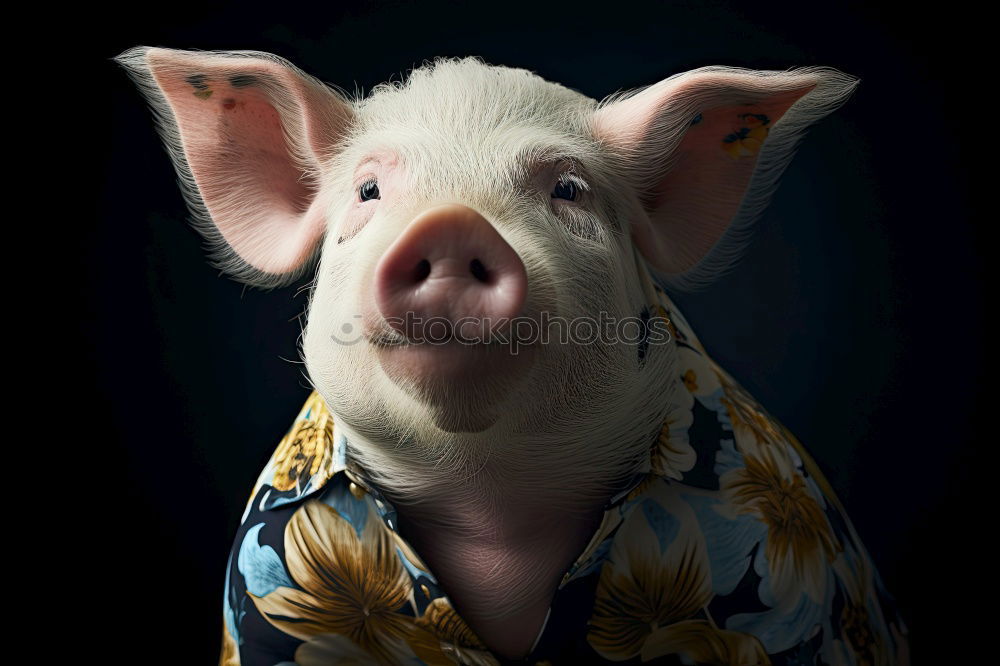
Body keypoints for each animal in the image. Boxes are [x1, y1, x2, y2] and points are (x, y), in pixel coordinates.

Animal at [113, 48, 912, 664]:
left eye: (568, 190)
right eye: (369, 189)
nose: (451, 224)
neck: (490, 505)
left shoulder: (793, 589)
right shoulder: (261, 603)